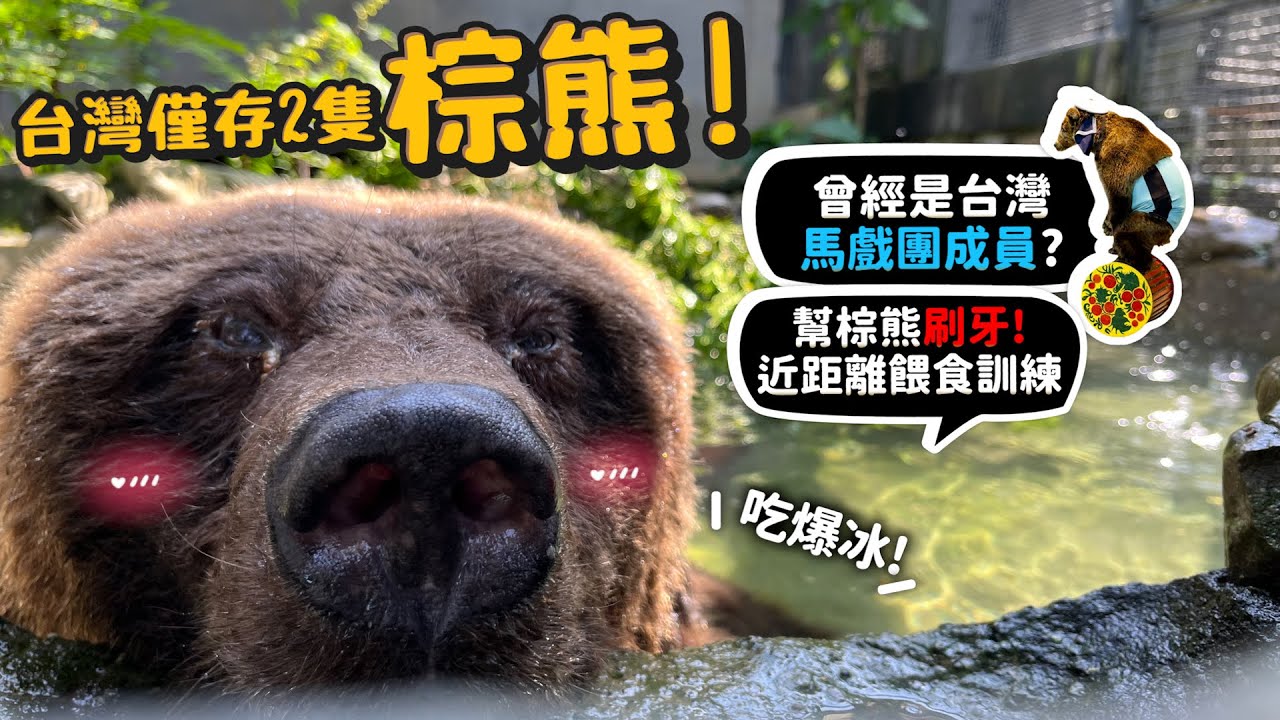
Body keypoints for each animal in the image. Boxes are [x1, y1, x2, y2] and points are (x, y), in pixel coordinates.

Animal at [1053, 105, 1187, 272]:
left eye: (1062, 128)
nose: (1055, 145)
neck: (1098, 137)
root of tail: (1169, 235)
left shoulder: (1117, 161)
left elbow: (1118, 199)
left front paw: (1113, 245)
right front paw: (1106, 227)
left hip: (1150, 220)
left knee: (1130, 234)